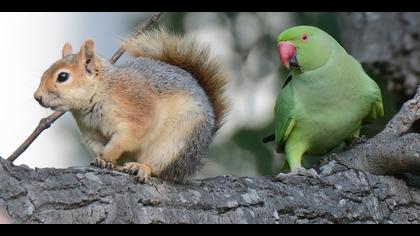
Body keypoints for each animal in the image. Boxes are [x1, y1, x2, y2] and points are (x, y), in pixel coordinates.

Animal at [32, 27, 230, 183]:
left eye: (63, 77)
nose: (37, 97)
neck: (101, 91)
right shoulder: (90, 133)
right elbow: (98, 146)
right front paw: (101, 159)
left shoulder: (137, 112)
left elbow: (125, 139)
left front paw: (108, 155)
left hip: (177, 145)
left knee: (160, 169)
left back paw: (140, 167)